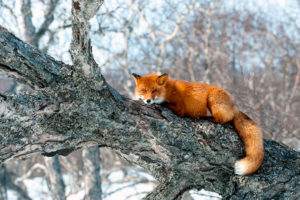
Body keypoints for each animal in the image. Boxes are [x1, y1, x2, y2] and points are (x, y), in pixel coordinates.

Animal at [132, 73, 264, 175]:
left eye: (154, 90)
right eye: (143, 90)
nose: (148, 100)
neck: (168, 90)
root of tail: (233, 105)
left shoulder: (179, 107)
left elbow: (166, 104)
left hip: (212, 99)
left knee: (224, 119)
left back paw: (209, 118)